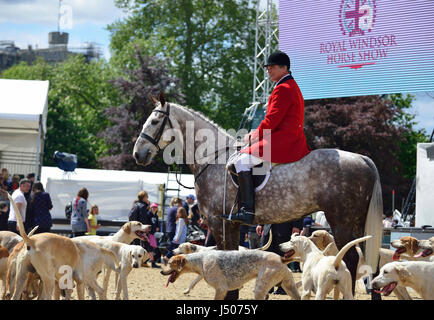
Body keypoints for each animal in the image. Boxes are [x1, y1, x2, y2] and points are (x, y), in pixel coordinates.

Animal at [133, 94, 384, 298]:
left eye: (154, 122)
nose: (138, 154)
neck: (213, 158)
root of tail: (363, 159)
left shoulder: (218, 222)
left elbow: (226, 258)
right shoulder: (231, 224)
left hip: (341, 221)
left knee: (351, 260)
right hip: (357, 222)